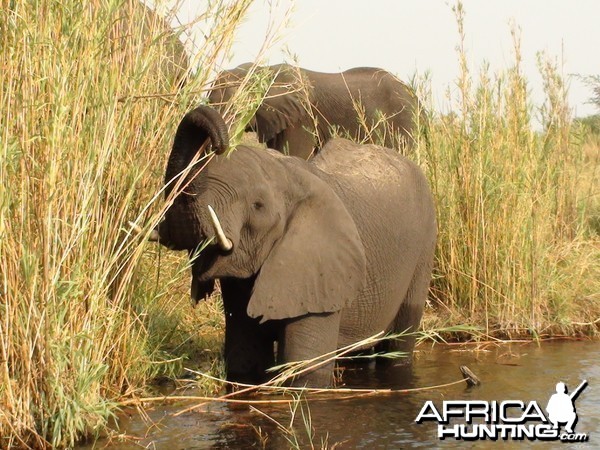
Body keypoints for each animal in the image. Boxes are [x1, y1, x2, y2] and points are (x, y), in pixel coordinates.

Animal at [146, 105, 436, 386]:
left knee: (400, 340)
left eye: (258, 205)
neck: (286, 174)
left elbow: (304, 370)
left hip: (425, 246)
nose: (219, 144)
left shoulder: (320, 272)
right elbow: (245, 360)